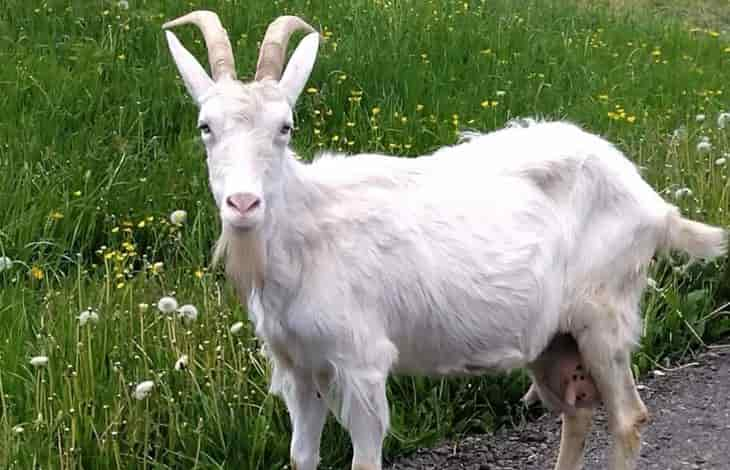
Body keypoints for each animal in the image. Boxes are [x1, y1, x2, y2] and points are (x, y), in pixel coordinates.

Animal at [162, 11, 724, 470]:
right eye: (205, 126)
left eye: (285, 126)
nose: (243, 204)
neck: (308, 230)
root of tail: (653, 203)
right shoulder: (298, 367)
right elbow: (303, 457)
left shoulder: (361, 362)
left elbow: (365, 458)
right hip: (553, 336)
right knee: (576, 411)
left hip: (604, 313)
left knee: (628, 416)